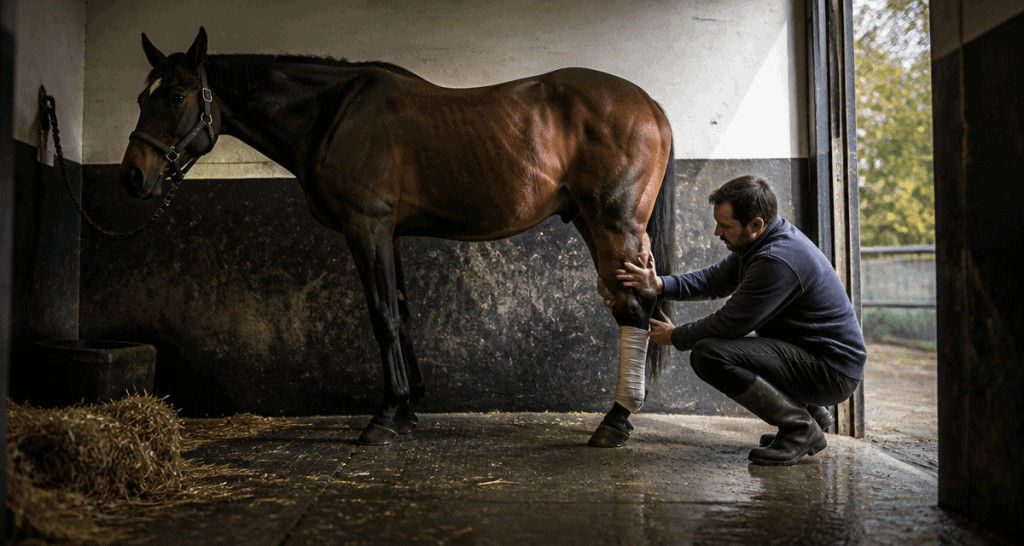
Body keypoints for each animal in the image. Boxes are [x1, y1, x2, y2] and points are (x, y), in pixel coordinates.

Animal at [119, 27, 676, 448]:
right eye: (141, 97)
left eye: (175, 96)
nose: (132, 176)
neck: (330, 114)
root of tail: (649, 102)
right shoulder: (392, 234)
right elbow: (402, 313)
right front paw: (408, 407)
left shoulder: (367, 227)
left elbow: (382, 317)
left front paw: (384, 416)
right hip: (589, 220)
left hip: (612, 222)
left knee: (633, 306)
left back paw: (615, 422)